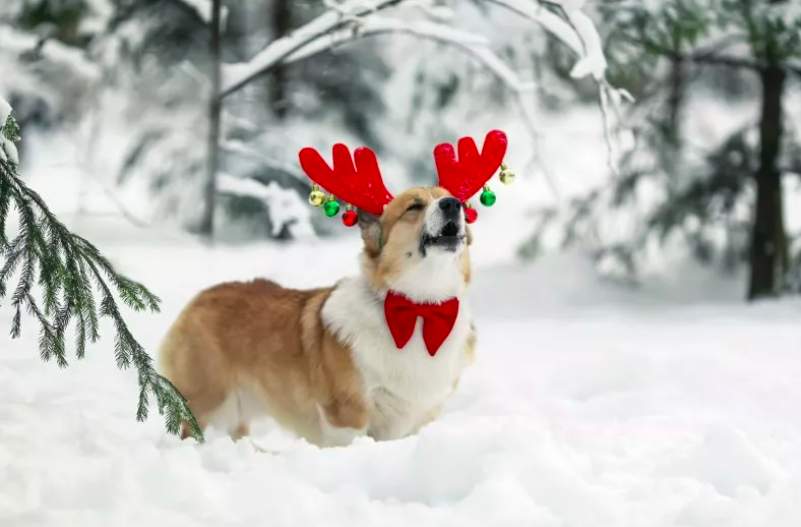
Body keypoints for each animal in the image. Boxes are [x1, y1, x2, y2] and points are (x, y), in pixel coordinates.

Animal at [156, 129, 506, 446]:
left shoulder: (417, 417)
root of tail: (198, 299)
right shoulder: (347, 415)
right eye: (414, 207)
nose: (452, 204)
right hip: (208, 403)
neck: (421, 309)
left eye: (452, 200)